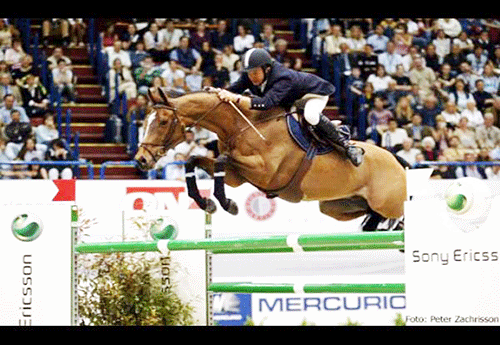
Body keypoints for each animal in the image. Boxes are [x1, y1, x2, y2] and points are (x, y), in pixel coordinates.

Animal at [134, 86, 406, 228]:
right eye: (145, 121)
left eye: (163, 121)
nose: (141, 159)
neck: (241, 125)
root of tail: (398, 162)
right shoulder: (236, 176)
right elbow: (195, 161)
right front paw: (207, 203)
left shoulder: (265, 172)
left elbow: (222, 159)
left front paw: (227, 204)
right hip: (337, 206)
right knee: (373, 218)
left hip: (388, 204)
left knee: (397, 216)